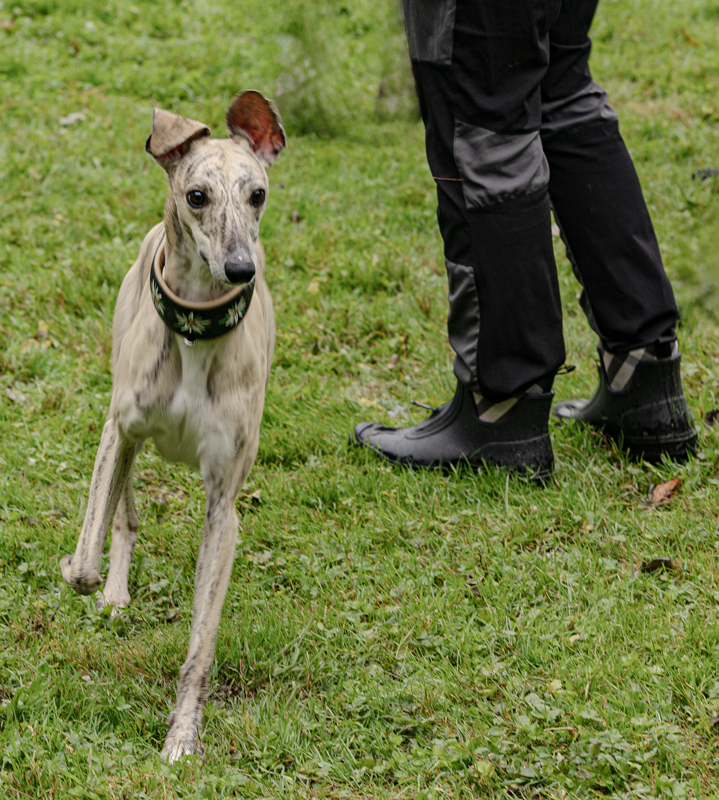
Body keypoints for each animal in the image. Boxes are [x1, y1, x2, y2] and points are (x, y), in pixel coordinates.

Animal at [59, 90, 285, 762]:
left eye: (258, 194)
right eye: (197, 195)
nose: (239, 269)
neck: (195, 330)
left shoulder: (223, 506)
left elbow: (201, 645)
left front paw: (183, 734)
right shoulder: (121, 429)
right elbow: (88, 553)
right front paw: (88, 575)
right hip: (122, 419)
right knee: (124, 513)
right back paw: (114, 591)